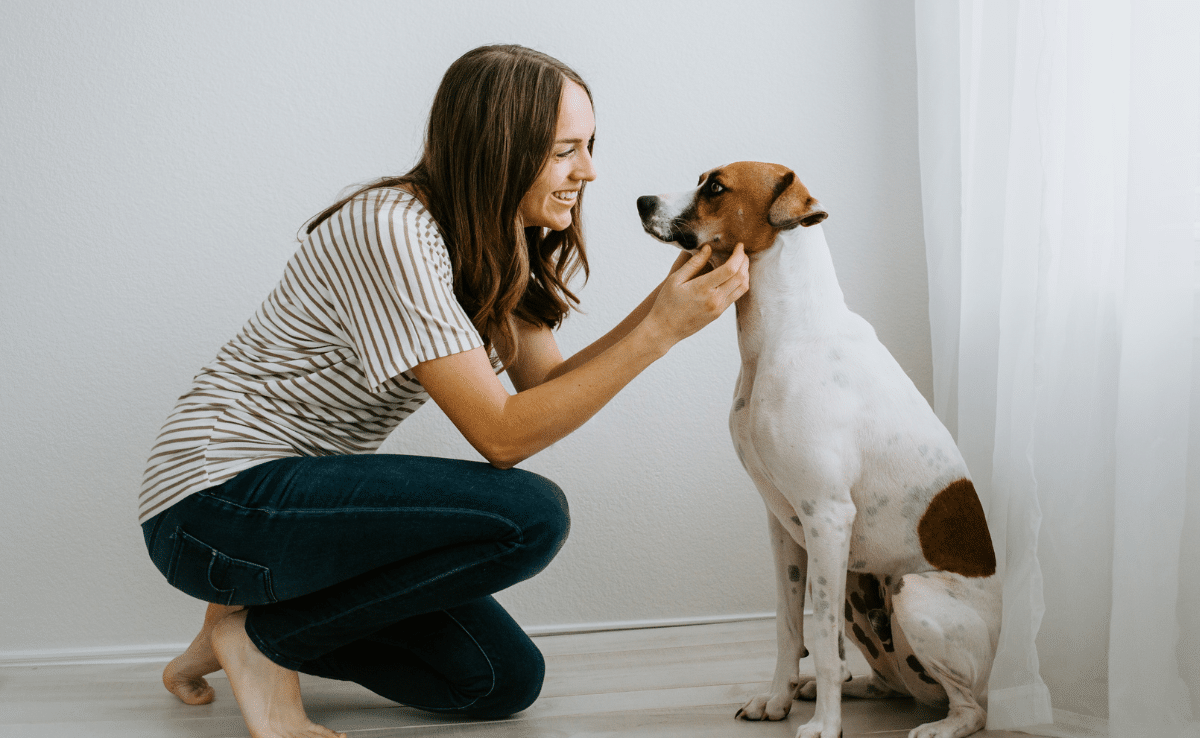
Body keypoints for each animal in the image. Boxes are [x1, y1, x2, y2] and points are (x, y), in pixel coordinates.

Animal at [638, 163, 1003, 738]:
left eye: (715, 186)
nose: (641, 201)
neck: (780, 335)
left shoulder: (827, 518)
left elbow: (825, 647)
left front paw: (824, 727)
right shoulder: (784, 524)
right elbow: (791, 630)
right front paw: (778, 699)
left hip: (912, 594)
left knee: (971, 708)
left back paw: (938, 725)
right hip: (857, 590)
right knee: (886, 680)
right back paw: (833, 689)